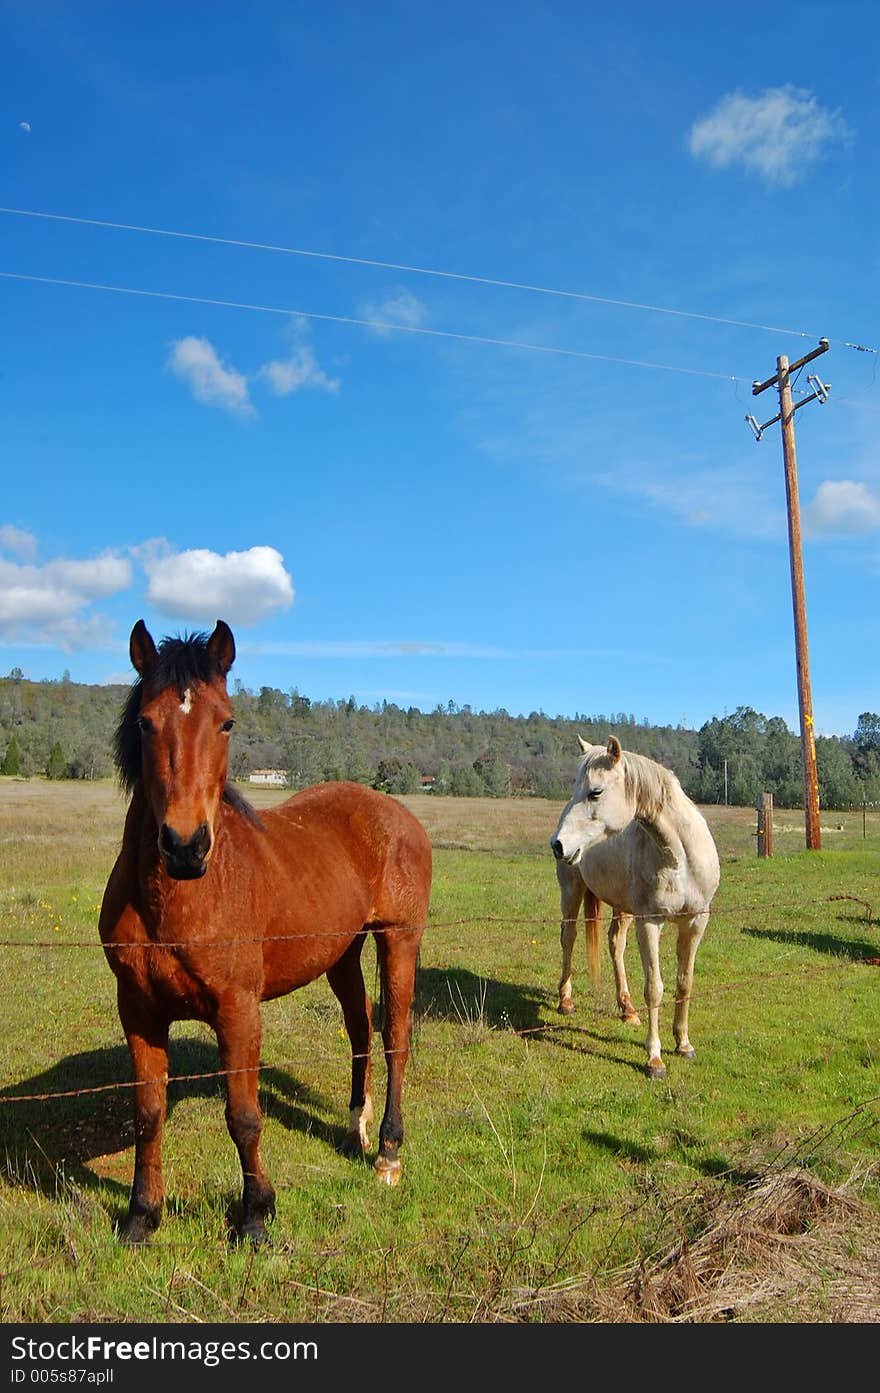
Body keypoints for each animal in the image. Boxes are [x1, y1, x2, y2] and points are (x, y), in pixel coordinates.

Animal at [99, 618, 434, 1242]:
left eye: (226, 721)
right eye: (144, 722)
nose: (185, 846)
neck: (177, 900)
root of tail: (398, 813)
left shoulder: (237, 1011)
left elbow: (244, 1116)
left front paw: (255, 1214)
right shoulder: (138, 1009)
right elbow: (148, 1114)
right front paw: (141, 1216)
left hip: (398, 939)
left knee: (394, 1037)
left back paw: (387, 1153)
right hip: (341, 955)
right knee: (359, 1031)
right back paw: (355, 1130)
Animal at [554, 735, 718, 1080]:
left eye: (596, 792)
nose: (558, 845)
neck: (680, 857)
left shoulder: (696, 922)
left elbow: (685, 981)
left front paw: (683, 1043)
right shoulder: (650, 922)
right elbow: (654, 987)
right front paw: (654, 1059)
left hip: (623, 908)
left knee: (615, 943)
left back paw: (627, 1009)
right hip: (572, 893)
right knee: (568, 938)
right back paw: (566, 1001)